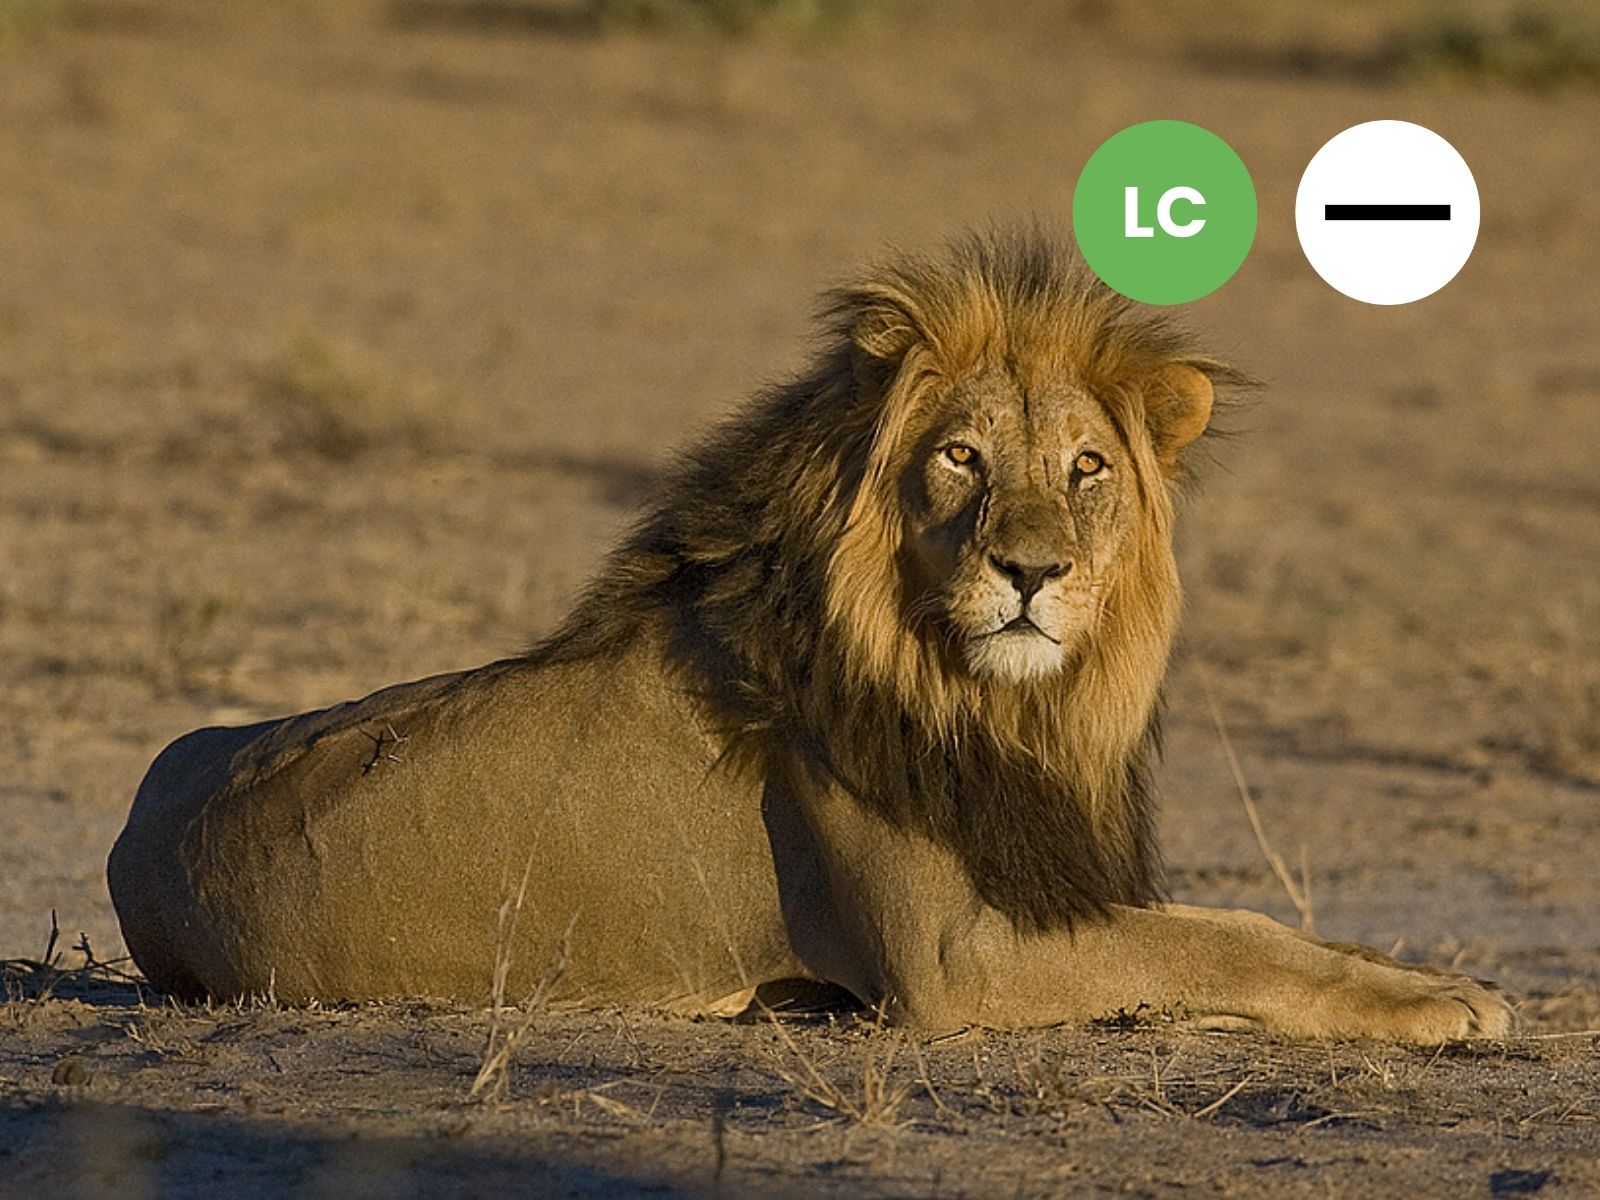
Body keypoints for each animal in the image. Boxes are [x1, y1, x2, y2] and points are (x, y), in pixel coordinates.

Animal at [109, 228, 1511, 1042]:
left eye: (1087, 468)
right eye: (960, 457)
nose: (1032, 570)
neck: (999, 702)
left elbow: (1252, 922)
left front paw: (1434, 973)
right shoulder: (954, 961)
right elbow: (1220, 940)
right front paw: (1441, 1001)